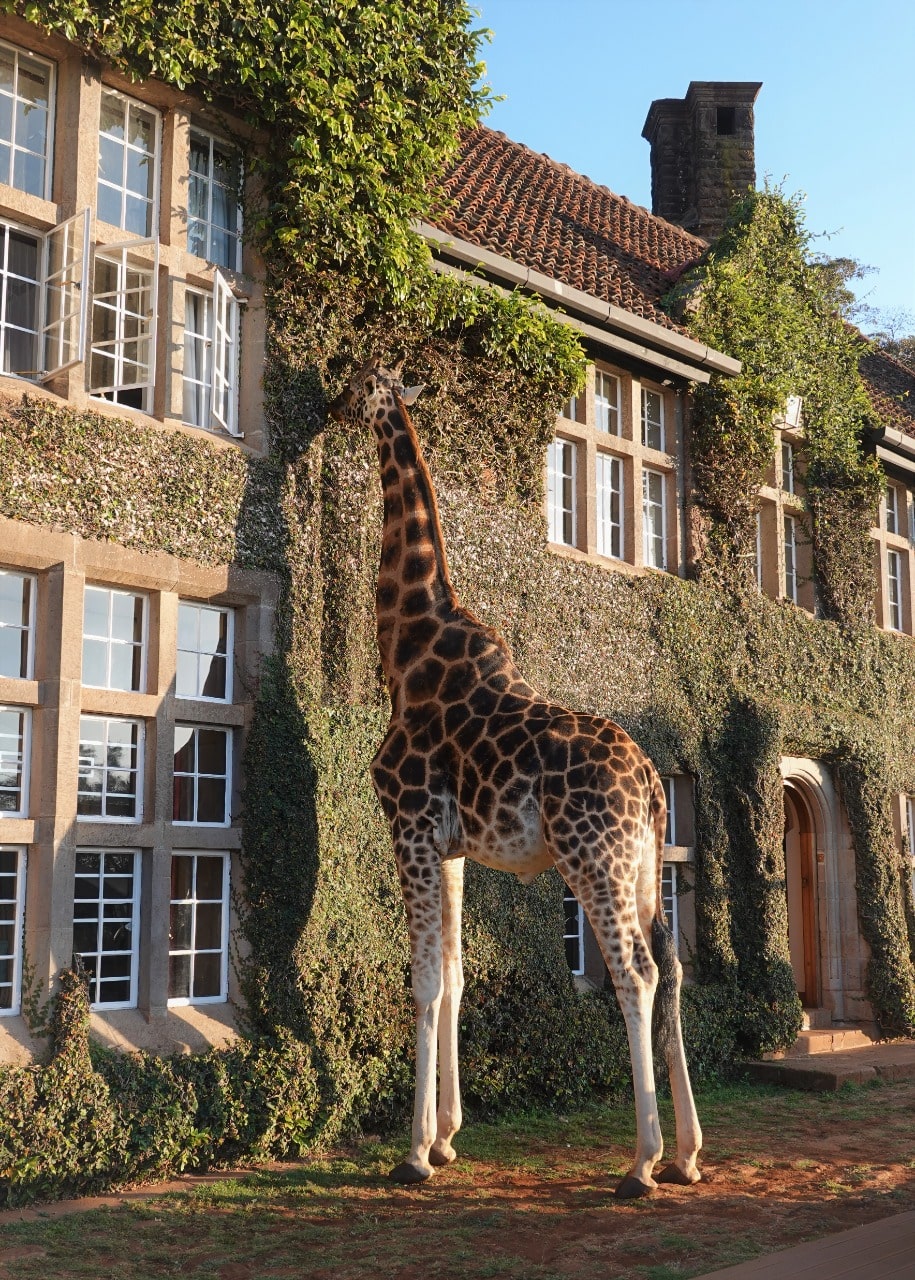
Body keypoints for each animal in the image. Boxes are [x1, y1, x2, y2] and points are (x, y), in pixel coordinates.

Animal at [328, 360, 702, 1199]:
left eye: (360, 380)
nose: (328, 396)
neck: (407, 654)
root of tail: (651, 786)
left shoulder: (407, 825)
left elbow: (424, 981)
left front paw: (413, 1153)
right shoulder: (452, 847)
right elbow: (457, 976)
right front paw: (446, 1137)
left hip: (591, 856)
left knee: (633, 973)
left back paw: (641, 1163)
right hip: (640, 863)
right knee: (671, 966)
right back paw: (689, 1153)